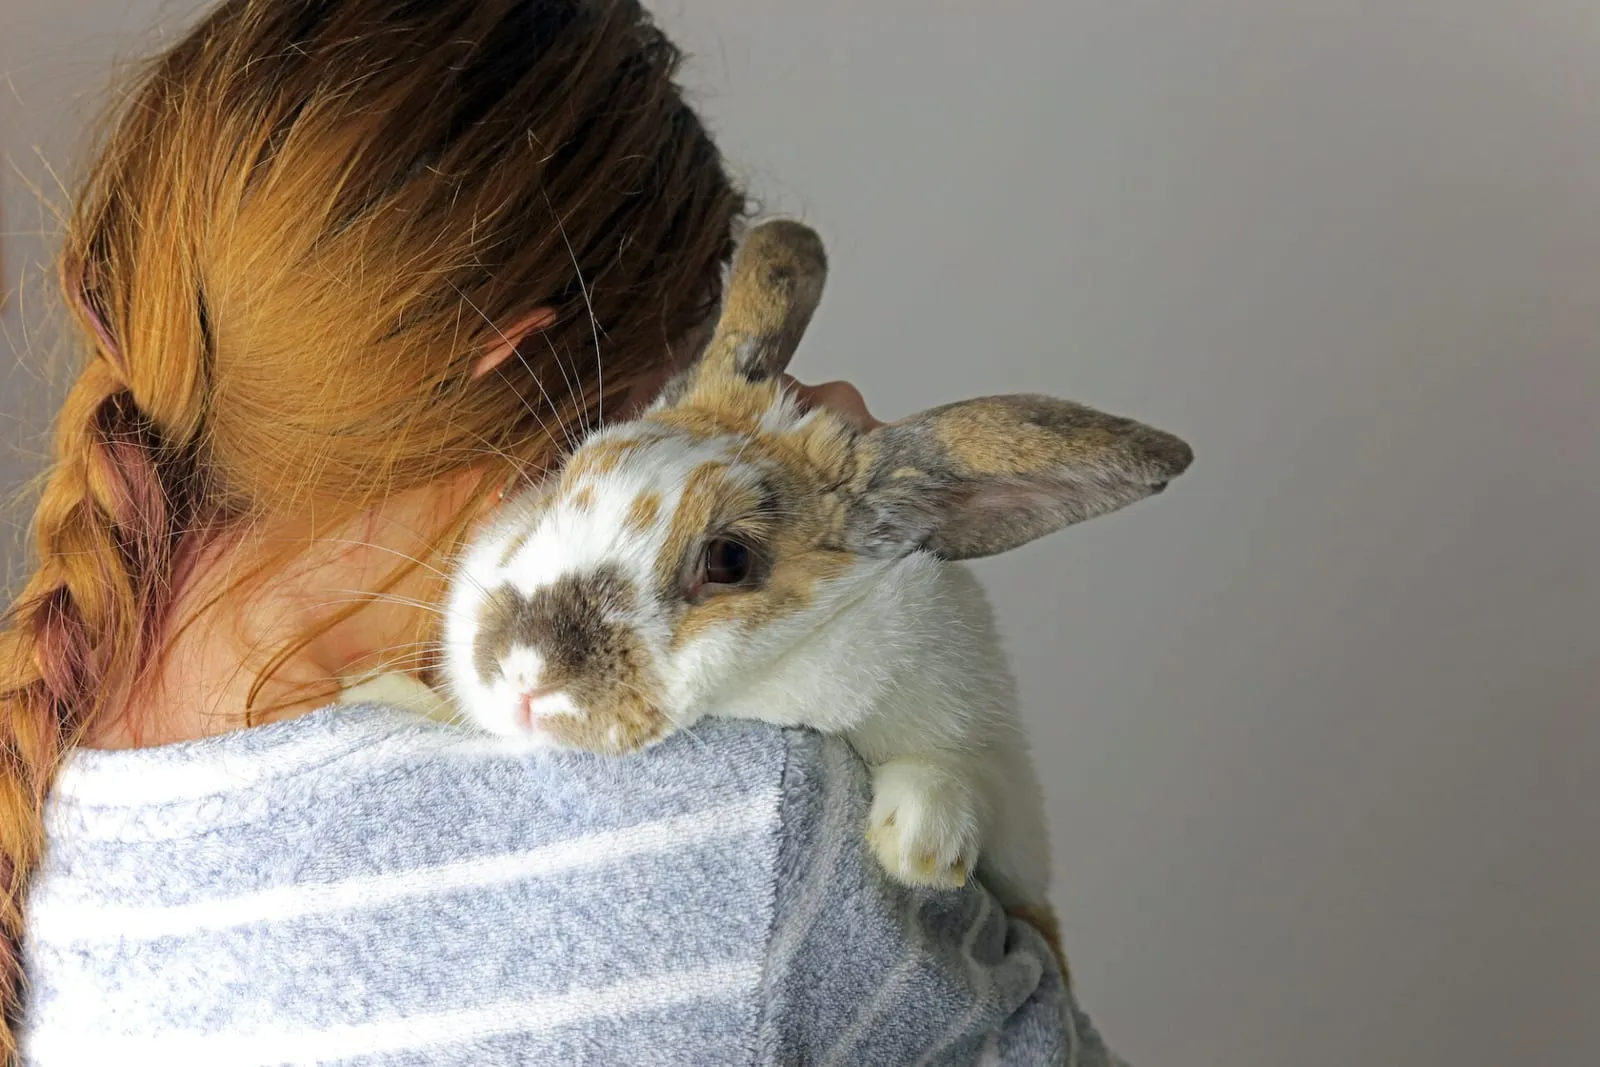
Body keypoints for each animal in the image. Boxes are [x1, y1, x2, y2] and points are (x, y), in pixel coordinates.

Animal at [438, 219, 1193, 970]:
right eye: (569, 477)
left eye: (729, 559)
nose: (523, 675)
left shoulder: (1007, 794)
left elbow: (964, 775)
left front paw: (921, 845)